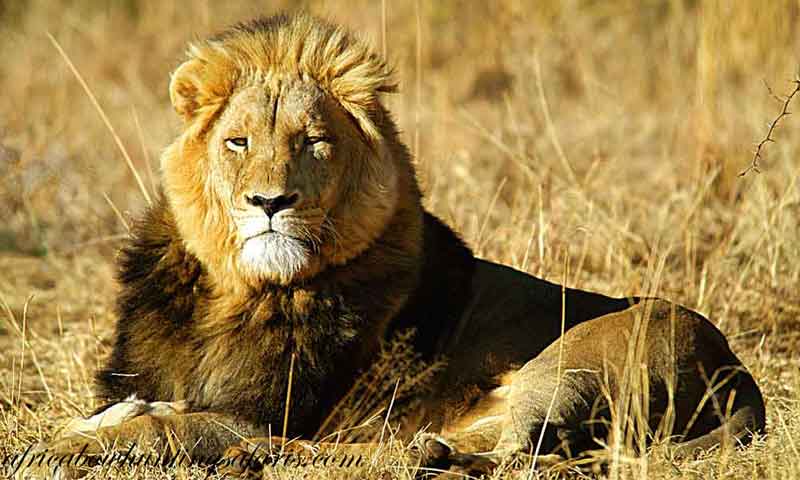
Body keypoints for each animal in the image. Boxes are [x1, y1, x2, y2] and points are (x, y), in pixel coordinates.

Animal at [22, 13, 764, 479]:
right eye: (238, 142)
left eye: (313, 142)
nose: (270, 203)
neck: (239, 293)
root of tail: (742, 377)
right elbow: (120, 411)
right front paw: (84, 430)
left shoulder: (259, 413)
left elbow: (165, 428)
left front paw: (64, 448)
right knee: (444, 448)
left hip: (576, 363)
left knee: (517, 457)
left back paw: (278, 459)